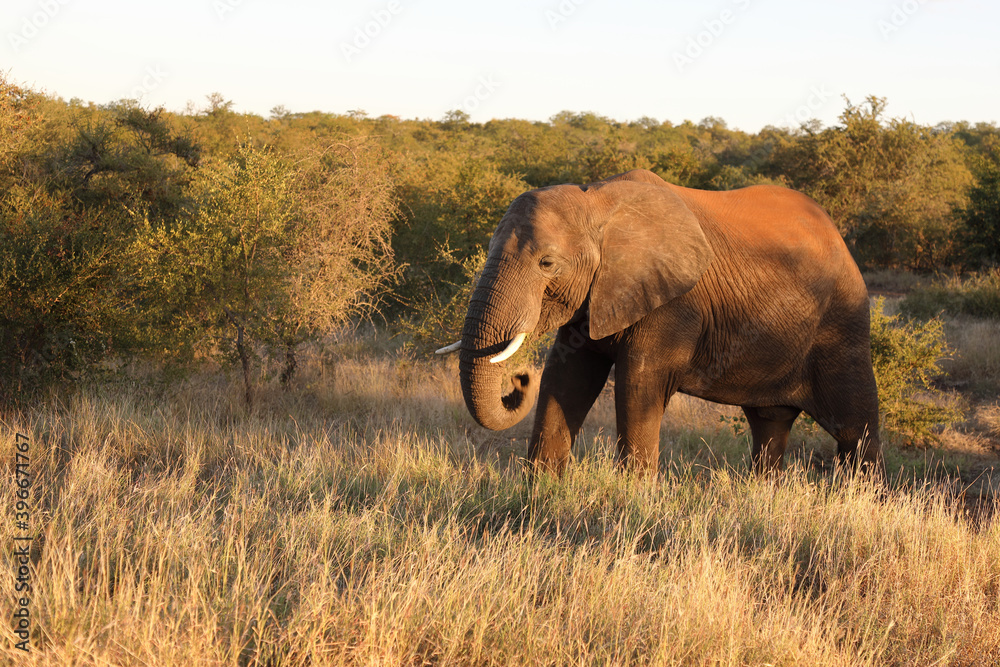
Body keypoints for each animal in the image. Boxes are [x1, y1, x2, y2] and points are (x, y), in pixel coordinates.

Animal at [437, 169, 883, 477]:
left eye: (547, 263)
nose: (517, 379)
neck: (598, 201)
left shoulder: (674, 303)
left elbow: (638, 385)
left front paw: (631, 500)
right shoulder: (595, 295)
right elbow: (566, 378)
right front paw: (541, 491)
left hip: (842, 325)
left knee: (855, 428)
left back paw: (865, 500)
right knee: (769, 425)